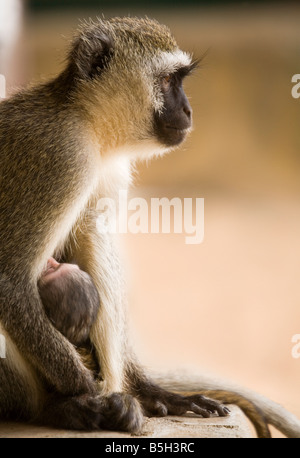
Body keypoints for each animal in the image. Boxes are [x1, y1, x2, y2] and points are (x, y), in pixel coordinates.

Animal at [0, 17, 300, 438]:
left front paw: (151, 391)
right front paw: (88, 394)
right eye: (169, 80)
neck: (87, 122)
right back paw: (59, 408)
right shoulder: (59, 156)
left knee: (94, 231)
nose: (189, 110)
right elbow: (10, 279)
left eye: (181, 80)